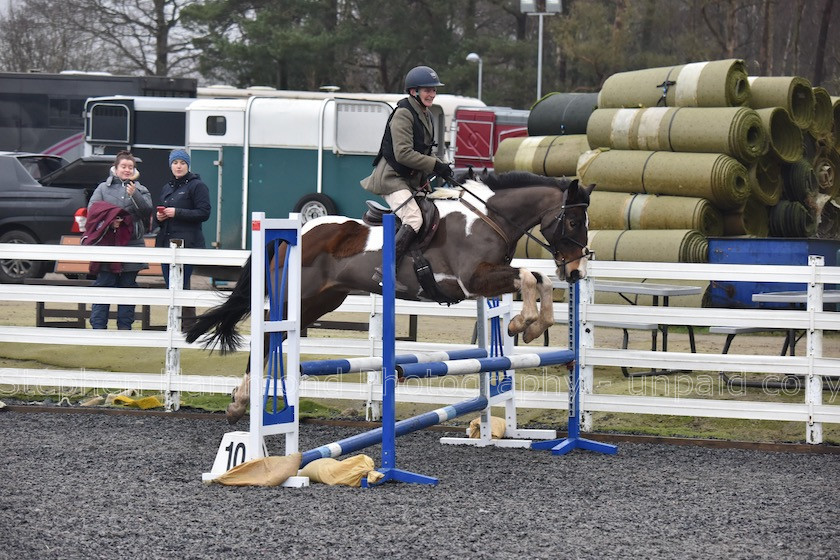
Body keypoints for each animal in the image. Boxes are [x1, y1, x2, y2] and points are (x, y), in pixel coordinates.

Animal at [187, 172, 592, 424]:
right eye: (574, 222)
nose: (576, 272)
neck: (487, 218)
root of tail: (298, 231)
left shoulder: (488, 279)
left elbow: (538, 278)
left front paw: (532, 325)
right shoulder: (472, 280)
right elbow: (528, 275)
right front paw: (524, 323)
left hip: (321, 301)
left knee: (279, 337)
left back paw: (242, 402)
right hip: (295, 298)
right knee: (268, 337)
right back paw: (240, 403)